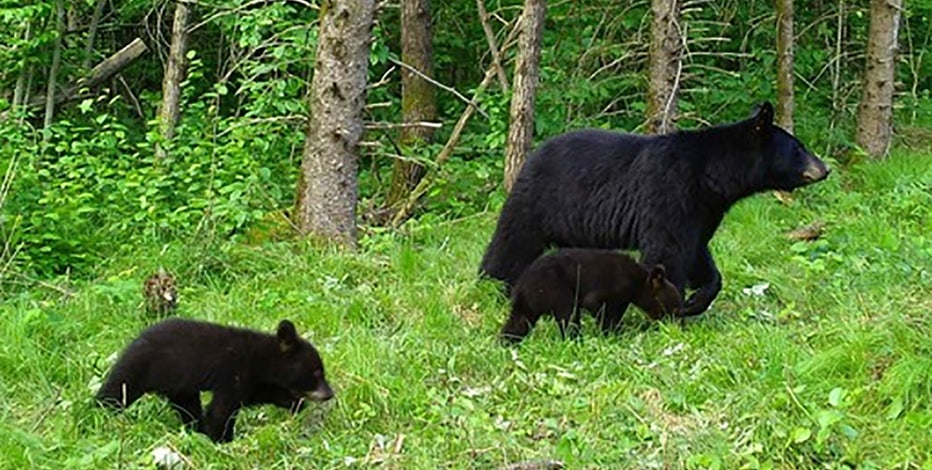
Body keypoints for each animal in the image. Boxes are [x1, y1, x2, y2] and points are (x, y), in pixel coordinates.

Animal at [95, 318, 334, 443]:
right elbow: (222, 410)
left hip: (179, 386)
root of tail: (134, 340)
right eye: (316, 373)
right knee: (116, 390)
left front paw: (296, 403)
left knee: (187, 407)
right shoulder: (233, 372)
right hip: (139, 367)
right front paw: (222, 440)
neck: (261, 358)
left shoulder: (253, 381)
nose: (329, 394)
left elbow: (260, 395)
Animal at [479, 102, 829, 317]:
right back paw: (493, 284)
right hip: (539, 200)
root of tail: (532, 154)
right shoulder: (671, 192)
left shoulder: (703, 209)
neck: (712, 176)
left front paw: (697, 300)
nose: (825, 168)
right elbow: (668, 250)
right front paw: (672, 309)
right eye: (799, 147)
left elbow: (698, 252)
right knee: (513, 241)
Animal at [499, 248, 683, 344]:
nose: (676, 328)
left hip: (528, 304)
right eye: (673, 309)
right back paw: (576, 340)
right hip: (556, 290)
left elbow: (616, 312)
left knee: (518, 321)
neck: (638, 282)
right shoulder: (614, 286)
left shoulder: (621, 300)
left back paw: (506, 341)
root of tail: (521, 285)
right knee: (568, 314)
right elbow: (595, 304)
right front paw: (613, 333)